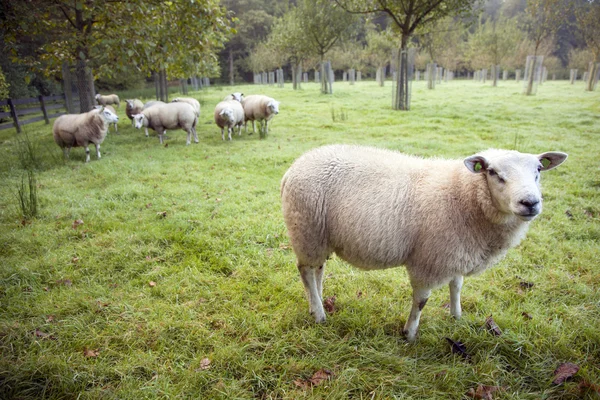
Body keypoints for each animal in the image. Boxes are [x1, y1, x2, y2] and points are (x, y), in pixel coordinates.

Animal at [282, 145, 568, 342]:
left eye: (538, 170)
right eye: (493, 172)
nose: (530, 203)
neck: (464, 196)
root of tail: (294, 167)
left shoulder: (455, 251)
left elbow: (457, 285)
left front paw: (456, 316)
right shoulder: (429, 260)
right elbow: (421, 301)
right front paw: (409, 334)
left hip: (319, 236)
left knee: (318, 270)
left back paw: (317, 302)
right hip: (306, 229)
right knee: (305, 270)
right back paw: (319, 314)